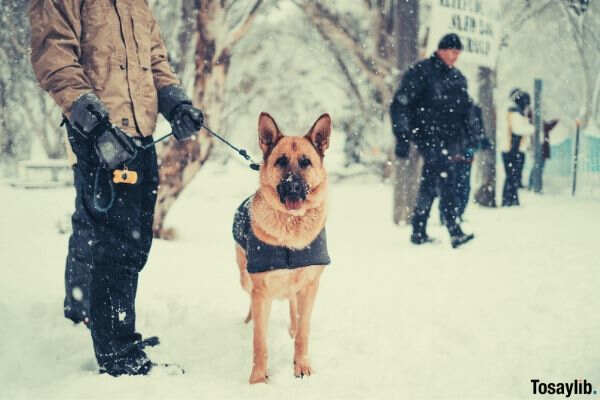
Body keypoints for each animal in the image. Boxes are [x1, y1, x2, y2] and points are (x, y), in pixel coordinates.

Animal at [232, 112, 332, 384]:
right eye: (281, 161)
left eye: (306, 162)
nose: (293, 185)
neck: (291, 226)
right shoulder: (261, 291)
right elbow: (260, 341)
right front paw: (258, 379)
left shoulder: (310, 286)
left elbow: (303, 332)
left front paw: (302, 366)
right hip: (245, 279)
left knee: (293, 307)